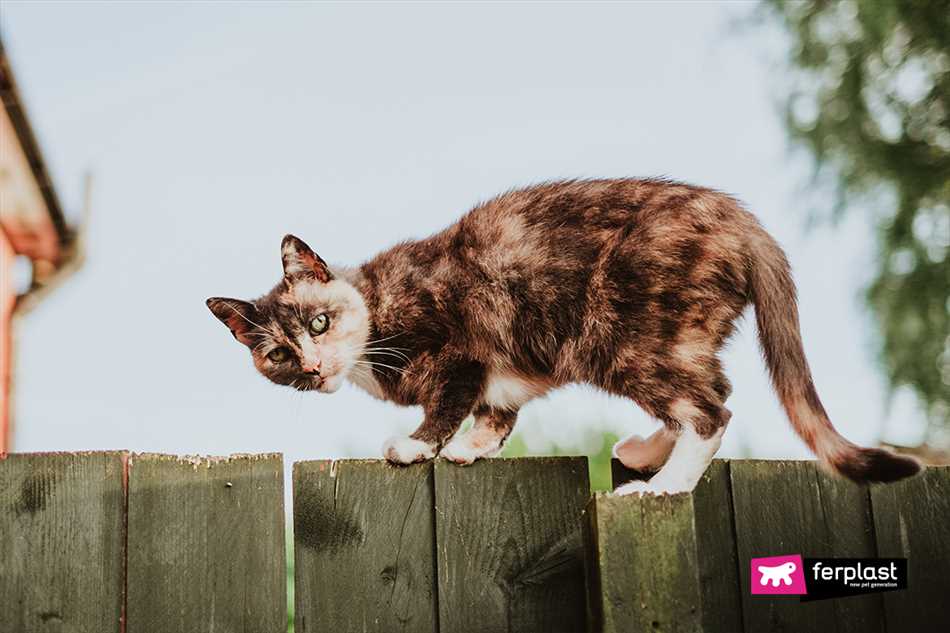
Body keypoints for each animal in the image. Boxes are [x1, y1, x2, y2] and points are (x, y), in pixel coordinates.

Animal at [206, 178, 924, 494]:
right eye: (278, 354)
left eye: (319, 321)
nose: (313, 365)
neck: (377, 309)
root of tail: (738, 215)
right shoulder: (501, 375)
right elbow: (497, 413)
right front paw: (473, 448)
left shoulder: (461, 349)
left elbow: (448, 401)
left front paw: (416, 445)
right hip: (672, 337)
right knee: (713, 388)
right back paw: (645, 452)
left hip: (623, 338)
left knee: (711, 409)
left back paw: (665, 485)